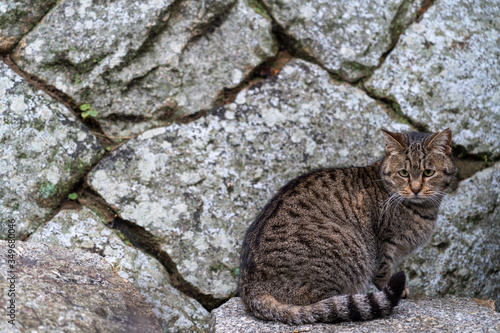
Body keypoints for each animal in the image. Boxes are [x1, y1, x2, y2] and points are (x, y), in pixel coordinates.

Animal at [238, 128, 458, 322]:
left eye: (428, 172)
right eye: (403, 172)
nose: (416, 189)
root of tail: (250, 288)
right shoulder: (383, 242)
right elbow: (383, 272)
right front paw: (399, 290)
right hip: (347, 247)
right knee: (318, 304)